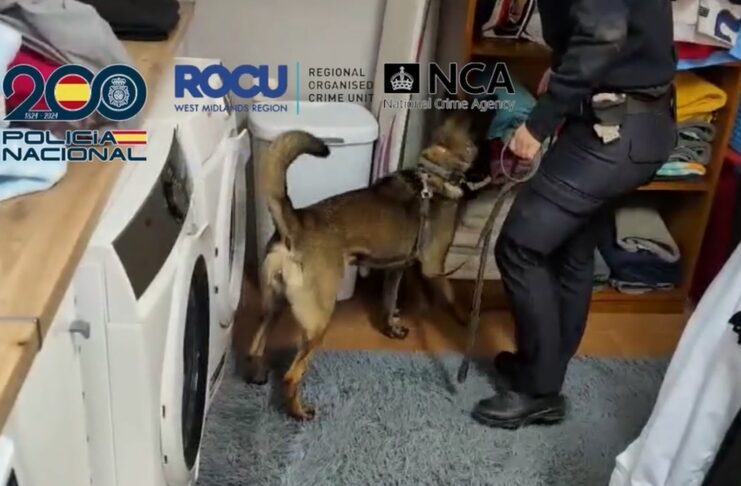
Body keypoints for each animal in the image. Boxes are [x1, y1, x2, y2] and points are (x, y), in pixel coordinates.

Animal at [241, 110, 484, 420]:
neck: (435, 173)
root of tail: (294, 224)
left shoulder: (396, 269)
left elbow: (389, 301)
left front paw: (392, 327)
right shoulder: (433, 265)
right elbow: (451, 293)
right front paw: (466, 317)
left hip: (274, 303)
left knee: (256, 344)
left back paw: (258, 375)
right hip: (318, 321)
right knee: (291, 376)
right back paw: (299, 412)